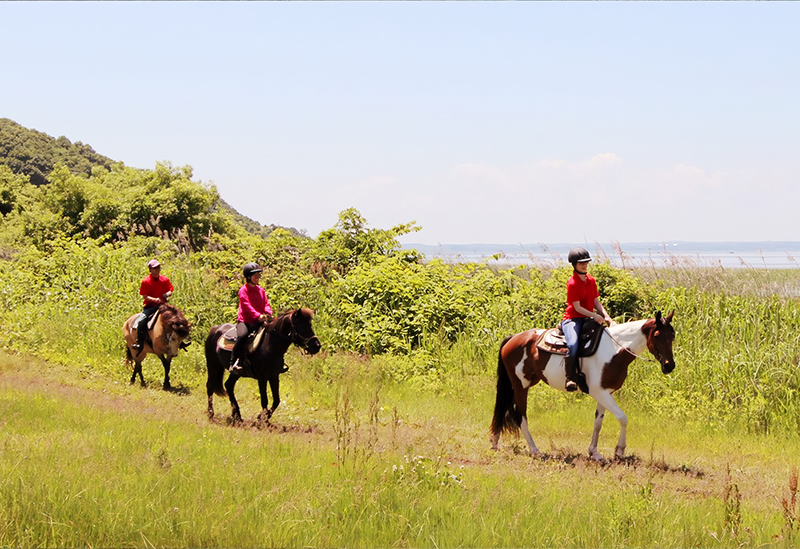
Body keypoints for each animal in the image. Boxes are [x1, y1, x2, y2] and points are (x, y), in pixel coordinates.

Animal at [490, 311, 676, 461]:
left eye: (672, 336)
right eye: (657, 335)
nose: (669, 366)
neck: (613, 350)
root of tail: (513, 338)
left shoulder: (606, 393)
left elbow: (598, 423)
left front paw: (594, 452)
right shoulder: (599, 392)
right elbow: (623, 418)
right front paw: (620, 450)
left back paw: (494, 442)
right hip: (520, 385)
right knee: (520, 415)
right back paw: (534, 449)